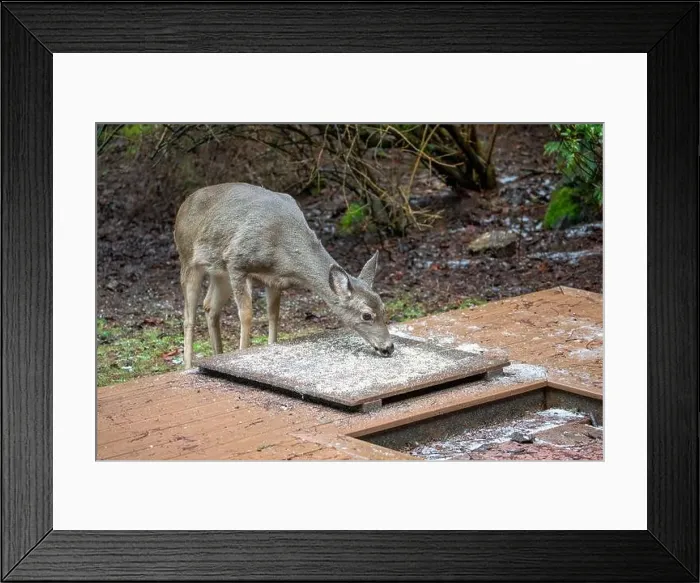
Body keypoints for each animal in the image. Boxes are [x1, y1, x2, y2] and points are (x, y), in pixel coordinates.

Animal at [174, 183, 395, 369]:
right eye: (366, 315)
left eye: (384, 308)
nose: (389, 347)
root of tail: (183, 205)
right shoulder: (236, 261)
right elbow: (246, 315)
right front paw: (242, 353)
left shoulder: (275, 279)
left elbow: (273, 316)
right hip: (188, 259)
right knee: (188, 317)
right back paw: (188, 366)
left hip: (219, 272)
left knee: (210, 306)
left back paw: (217, 354)